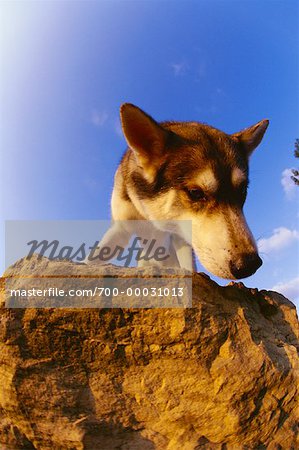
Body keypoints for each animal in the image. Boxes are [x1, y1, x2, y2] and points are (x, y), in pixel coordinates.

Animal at [88, 104, 270, 280]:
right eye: (195, 193)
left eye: (242, 190)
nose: (249, 264)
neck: (152, 217)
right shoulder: (121, 228)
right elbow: (94, 256)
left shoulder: (180, 238)